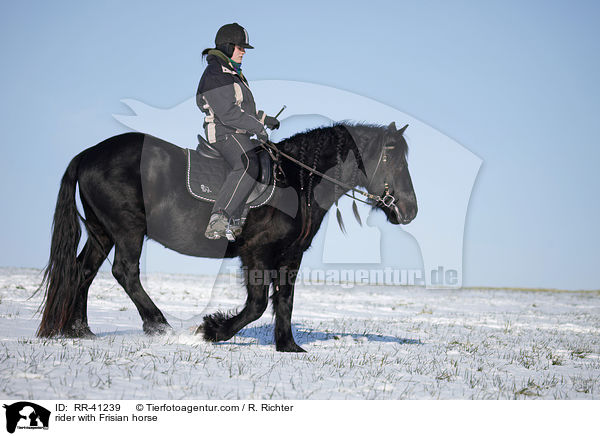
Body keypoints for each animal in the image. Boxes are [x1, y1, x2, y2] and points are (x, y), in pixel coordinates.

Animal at [35, 121, 414, 352]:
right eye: (393, 162)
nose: (410, 210)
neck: (296, 180)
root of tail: (88, 155)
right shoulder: (256, 253)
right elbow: (258, 305)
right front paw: (212, 330)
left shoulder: (290, 256)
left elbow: (286, 301)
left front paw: (289, 346)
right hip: (127, 229)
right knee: (124, 272)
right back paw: (159, 326)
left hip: (102, 231)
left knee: (82, 270)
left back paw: (79, 330)